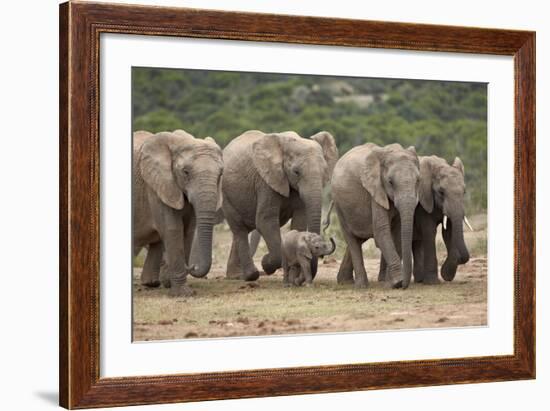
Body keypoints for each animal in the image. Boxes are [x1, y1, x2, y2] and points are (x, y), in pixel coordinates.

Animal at [134, 130, 224, 296]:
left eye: (221, 174)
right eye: (185, 172)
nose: (192, 266)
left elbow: (187, 230)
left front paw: (171, 284)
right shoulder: (157, 185)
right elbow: (173, 229)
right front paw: (183, 293)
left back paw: (151, 283)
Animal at [222, 130, 338, 282]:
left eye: (325, 172)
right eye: (296, 172)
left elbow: (300, 220)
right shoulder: (266, 181)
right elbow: (265, 221)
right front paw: (266, 264)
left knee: (243, 230)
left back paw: (236, 275)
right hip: (226, 195)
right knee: (239, 229)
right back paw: (250, 275)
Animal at [334, 144, 420, 290]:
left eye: (418, 181)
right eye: (390, 182)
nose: (404, 285)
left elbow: (397, 233)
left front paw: (390, 283)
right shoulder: (375, 190)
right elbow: (381, 230)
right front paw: (397, 282)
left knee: (359, 239)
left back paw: (345, 282)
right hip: (339, 206)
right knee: (351, 238)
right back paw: (361, 286)